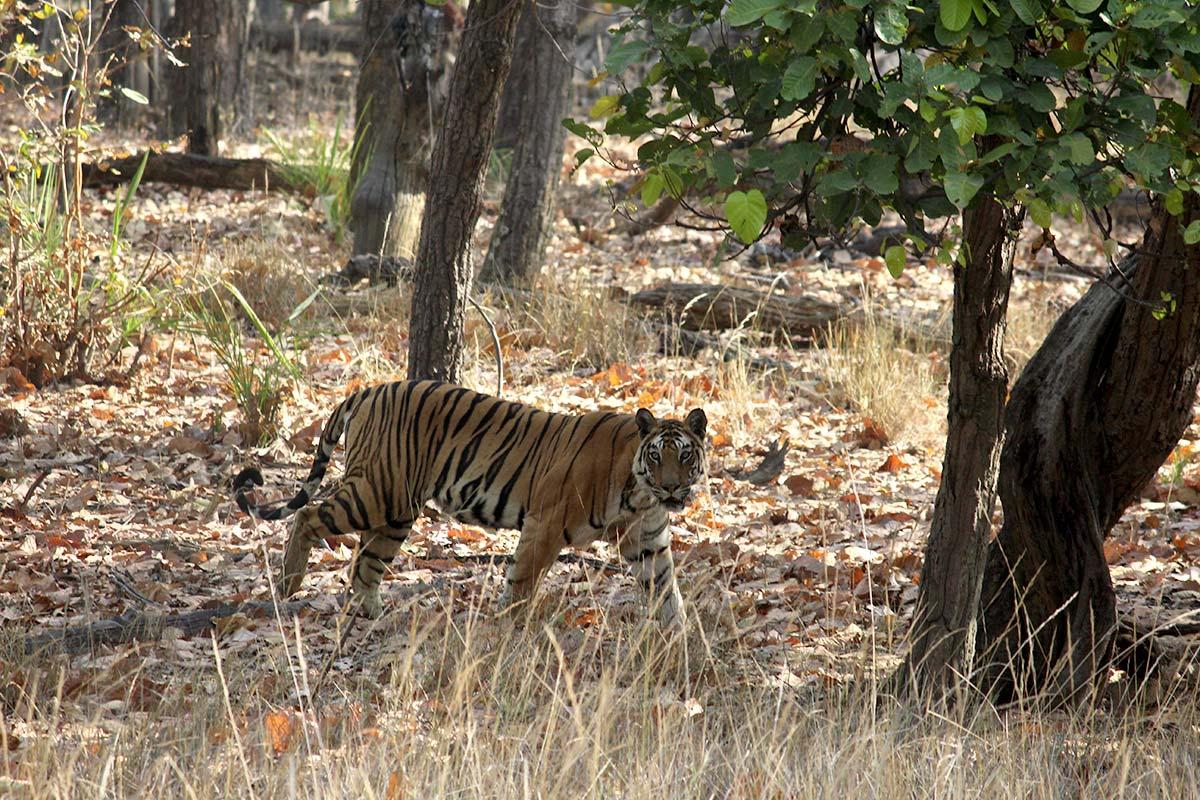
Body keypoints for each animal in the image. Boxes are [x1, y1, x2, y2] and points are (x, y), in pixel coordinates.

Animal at [232, 380, 708, 628]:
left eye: (685, 456)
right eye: (656, 455)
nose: (671, 489)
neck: (639, 494)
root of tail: (368, 390)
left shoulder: (647, 540)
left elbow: (667, 590)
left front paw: (681, 640)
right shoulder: (544, 524)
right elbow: (521, 581)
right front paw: (509, 629)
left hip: (396, 510)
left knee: (365, 561)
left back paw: (374, 613)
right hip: (376, 492)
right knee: (308, 516)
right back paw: (290, 583)